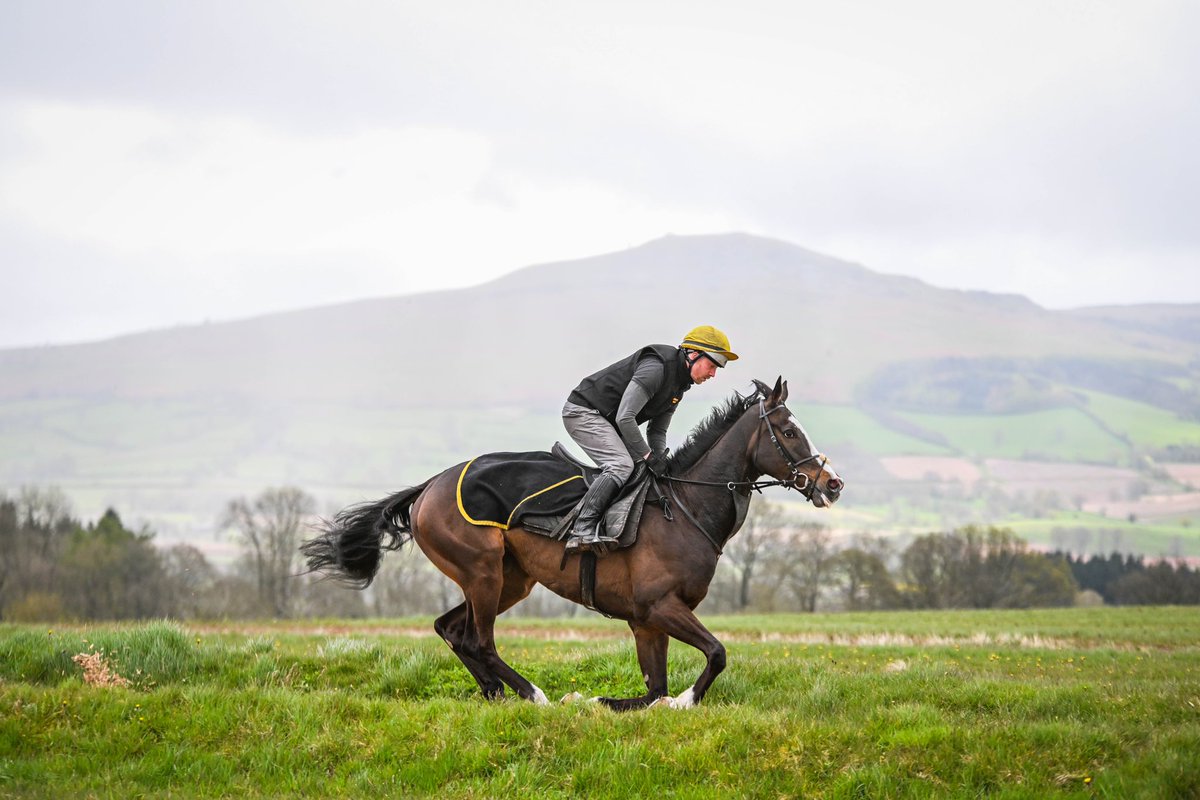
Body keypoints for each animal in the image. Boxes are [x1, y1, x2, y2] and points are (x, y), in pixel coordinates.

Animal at [300, 379, 844, 710]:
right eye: (790, 431)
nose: (833, 484)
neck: (685, 508)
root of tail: (429, 485)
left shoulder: (646, 620)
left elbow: (654, 689)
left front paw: (604, 701)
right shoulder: (660, 607)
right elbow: (715, 654)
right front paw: (685, 702)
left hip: (510, 580)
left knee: (451, 629)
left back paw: (496, 693)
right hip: (483, 571)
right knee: (478, 639)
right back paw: (533, 693)